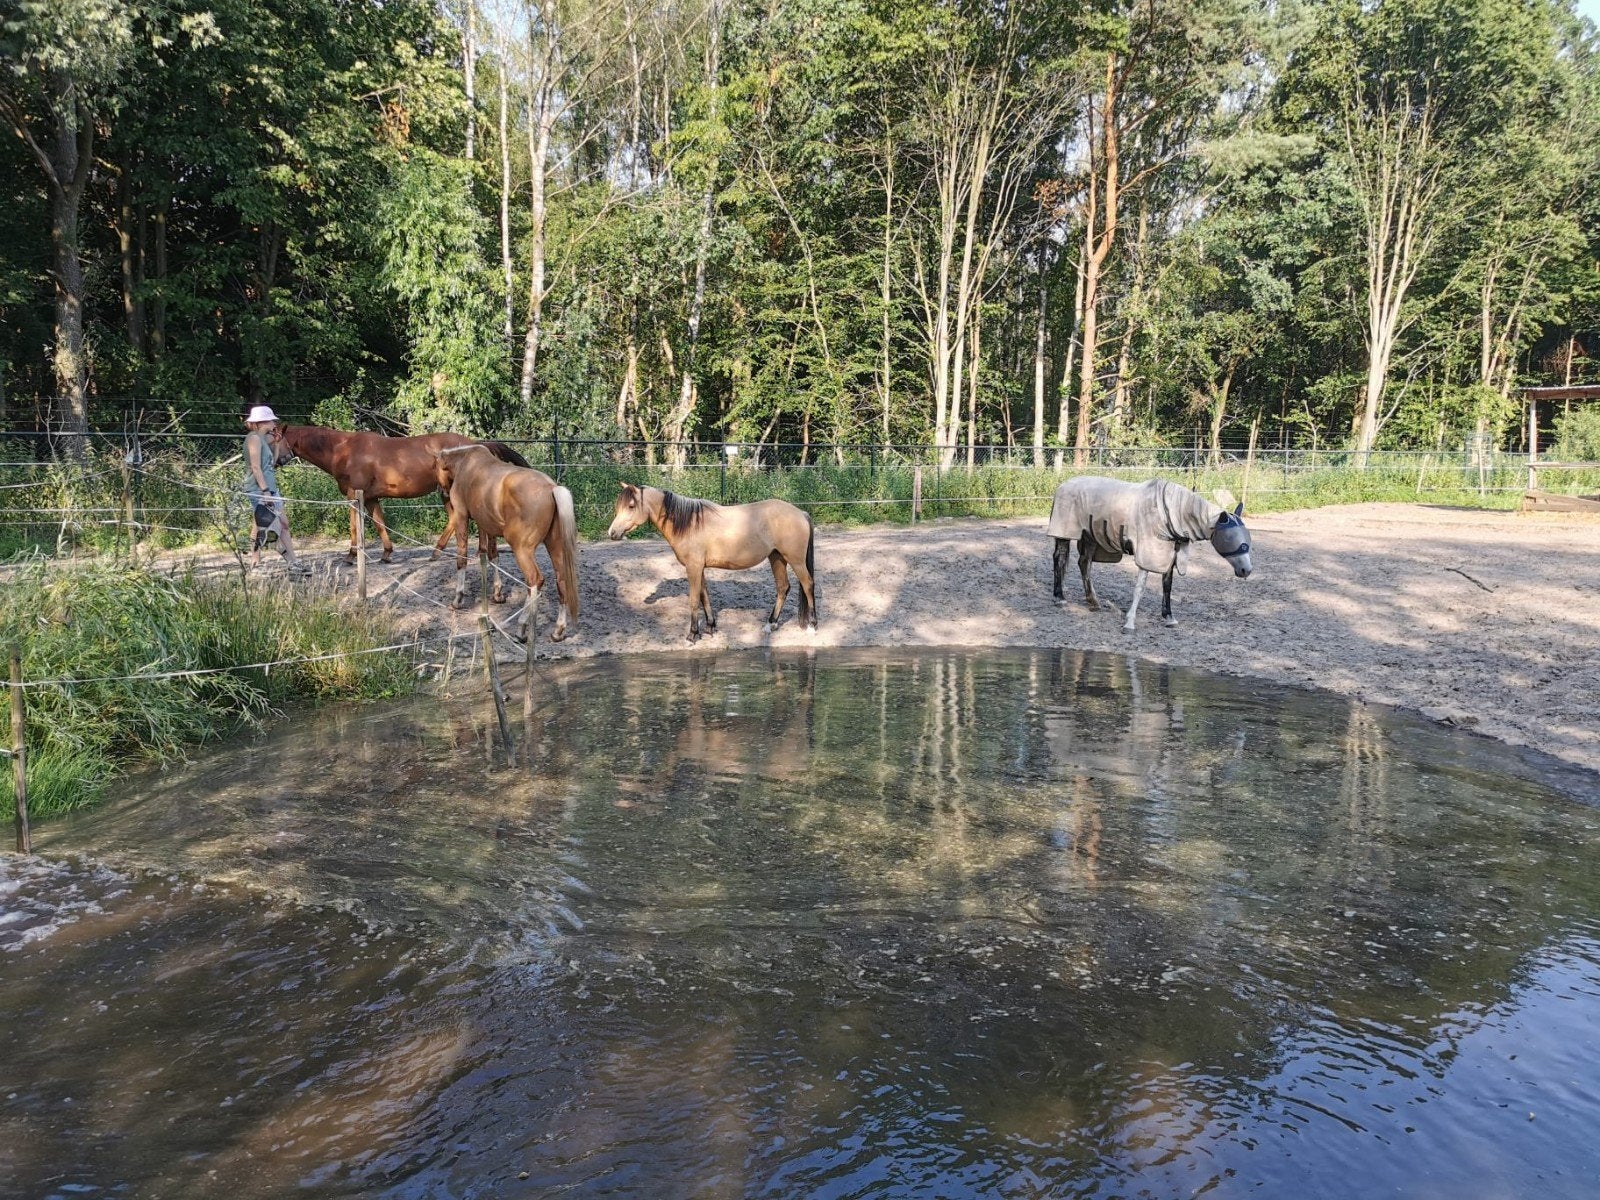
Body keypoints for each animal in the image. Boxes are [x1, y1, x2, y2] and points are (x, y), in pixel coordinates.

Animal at [276, 424, 531, 563]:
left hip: (449, 492)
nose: (276, 461)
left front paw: (350, 555)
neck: (344, 450)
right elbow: (379, 524)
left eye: (275, 438)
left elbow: (354, 527)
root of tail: (477, 444)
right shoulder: (370, 498)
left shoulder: (353, 497)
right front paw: (387, 553)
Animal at [433, 445, 579, 643]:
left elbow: (461, 557)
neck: (466, 463)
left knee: (535, 580)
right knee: (561, 580)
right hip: (555, 548)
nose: (442, 491)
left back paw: (522, 627)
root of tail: (552, 488)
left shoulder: (461, 518)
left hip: (522, 550)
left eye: (436, 466)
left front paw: (458, 599)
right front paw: (497, 594)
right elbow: (491, 555)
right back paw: (558, 631)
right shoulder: (486, 525)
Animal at [606, 483, 817, 643]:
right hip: (776, 558)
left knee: (807, 585)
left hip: (796, 561)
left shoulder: (693, 567)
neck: (689, 524)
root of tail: (801, 513)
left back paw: (813, 626)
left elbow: (693, 600)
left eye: (631, 506)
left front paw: (693, 634)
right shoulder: (699, 568)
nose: (612, 533)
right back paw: (770, 624)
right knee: (783, 588)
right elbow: (704, 596)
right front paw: (710, 627)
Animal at [1048, 476, 1252, 632]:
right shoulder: (1148, 552)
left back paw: (1093, 601)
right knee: (1060, 558)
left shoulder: (1169, 553)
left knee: (1084, 562)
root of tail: (1063, 485)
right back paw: (1060, 598)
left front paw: (1169, 617)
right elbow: (1140, 587)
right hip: (1065, 532)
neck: (1171, 512)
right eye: (1232, 539)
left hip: (1091, 535)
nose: (1246, 570)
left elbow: (1167, 586)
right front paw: (1130, 622)